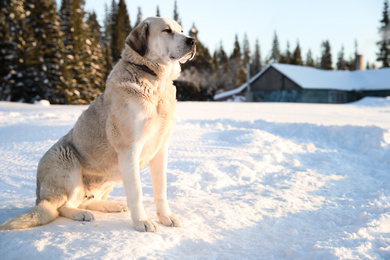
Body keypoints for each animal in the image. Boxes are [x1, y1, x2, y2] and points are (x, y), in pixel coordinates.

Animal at [0, 16, 195, 232]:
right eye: (167, 30)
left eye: (182, 30)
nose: (192, 41)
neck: (154, 80)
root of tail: (38, 197)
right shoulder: (129, 149)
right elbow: (136, 191)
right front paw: (142, 222)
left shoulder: (160, 148)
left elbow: (160, 190)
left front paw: (166, 217)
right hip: (64, 158)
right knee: (59, 207)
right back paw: (81, 214)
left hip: (108, 177)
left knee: (86, 200)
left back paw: (111, 205)